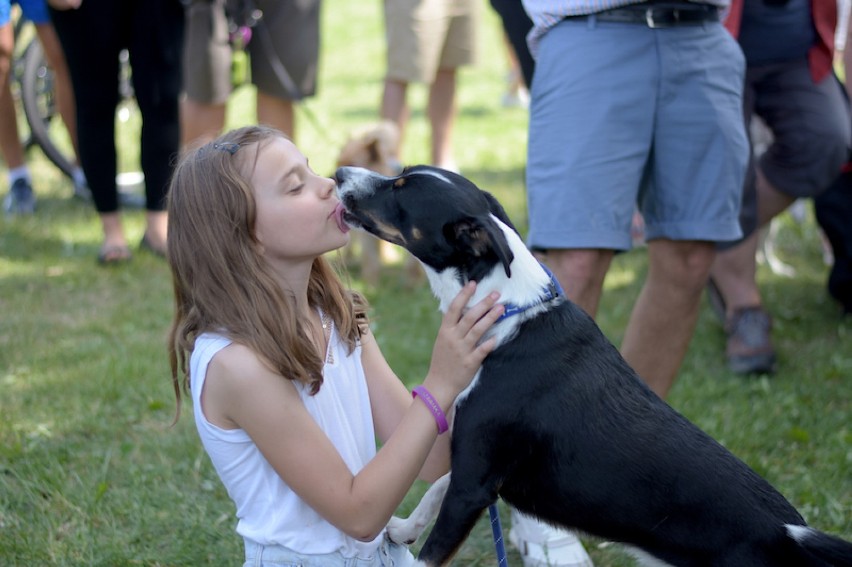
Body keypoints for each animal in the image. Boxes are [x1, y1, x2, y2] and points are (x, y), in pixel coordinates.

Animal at [334, 165, 852, 567]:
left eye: (401, 189)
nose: (339, 173)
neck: (506, 312)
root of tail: (787, 533)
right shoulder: (474, 463)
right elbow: (433, 488)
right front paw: (401, 528)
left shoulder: (476, 480)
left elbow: (435, 540)